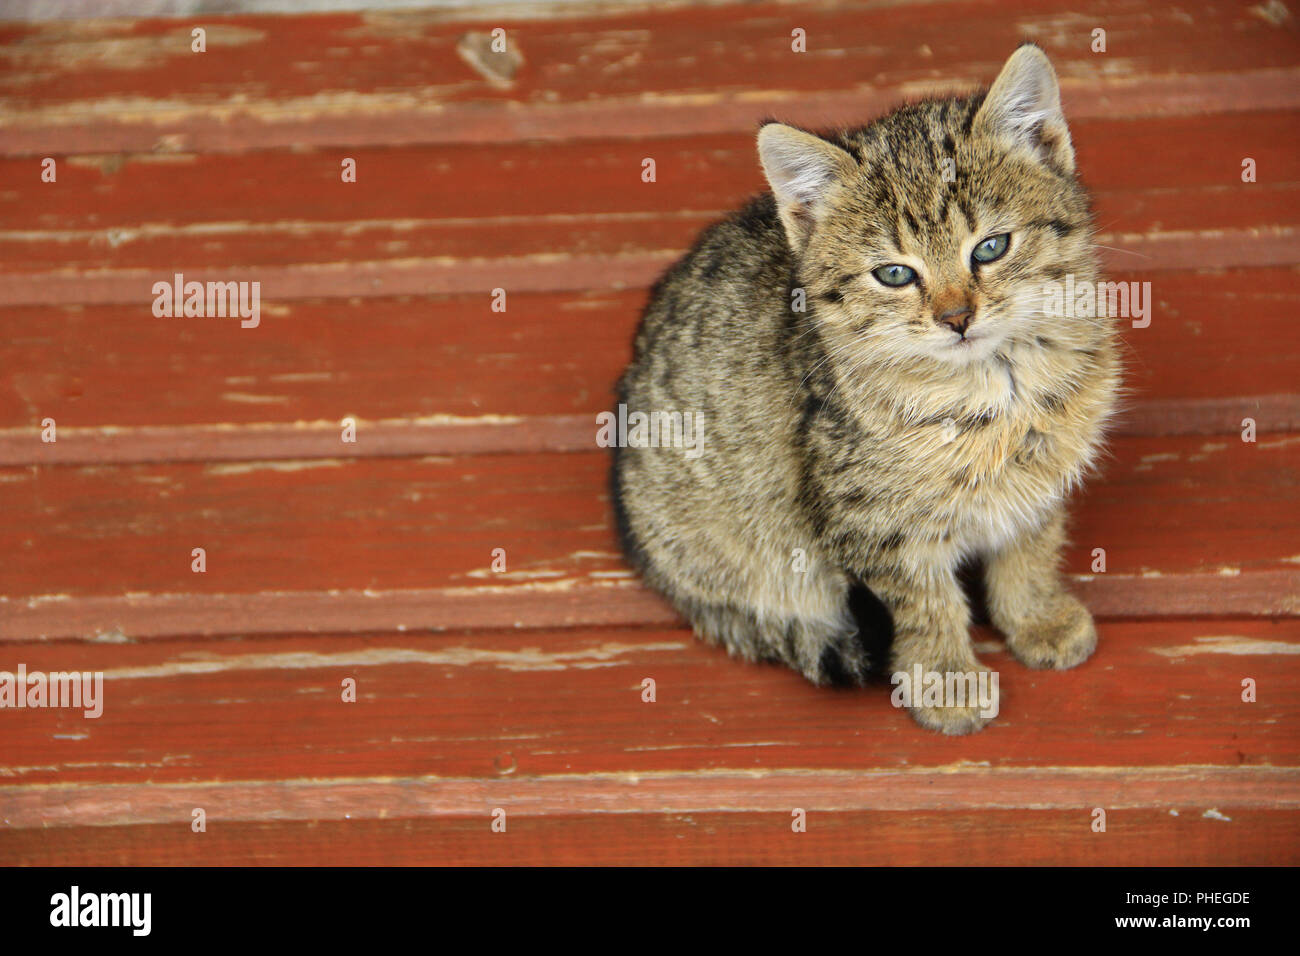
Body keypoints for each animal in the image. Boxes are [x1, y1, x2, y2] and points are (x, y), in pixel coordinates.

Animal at [613, 42, 1123, 733]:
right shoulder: (872, 522)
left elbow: (1031, 547)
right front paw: (946, 679)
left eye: (991, 247)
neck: (998, 388)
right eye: (894, 274)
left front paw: (1036, 615)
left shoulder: (1043, 477)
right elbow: (927, 603)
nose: (956, 317)